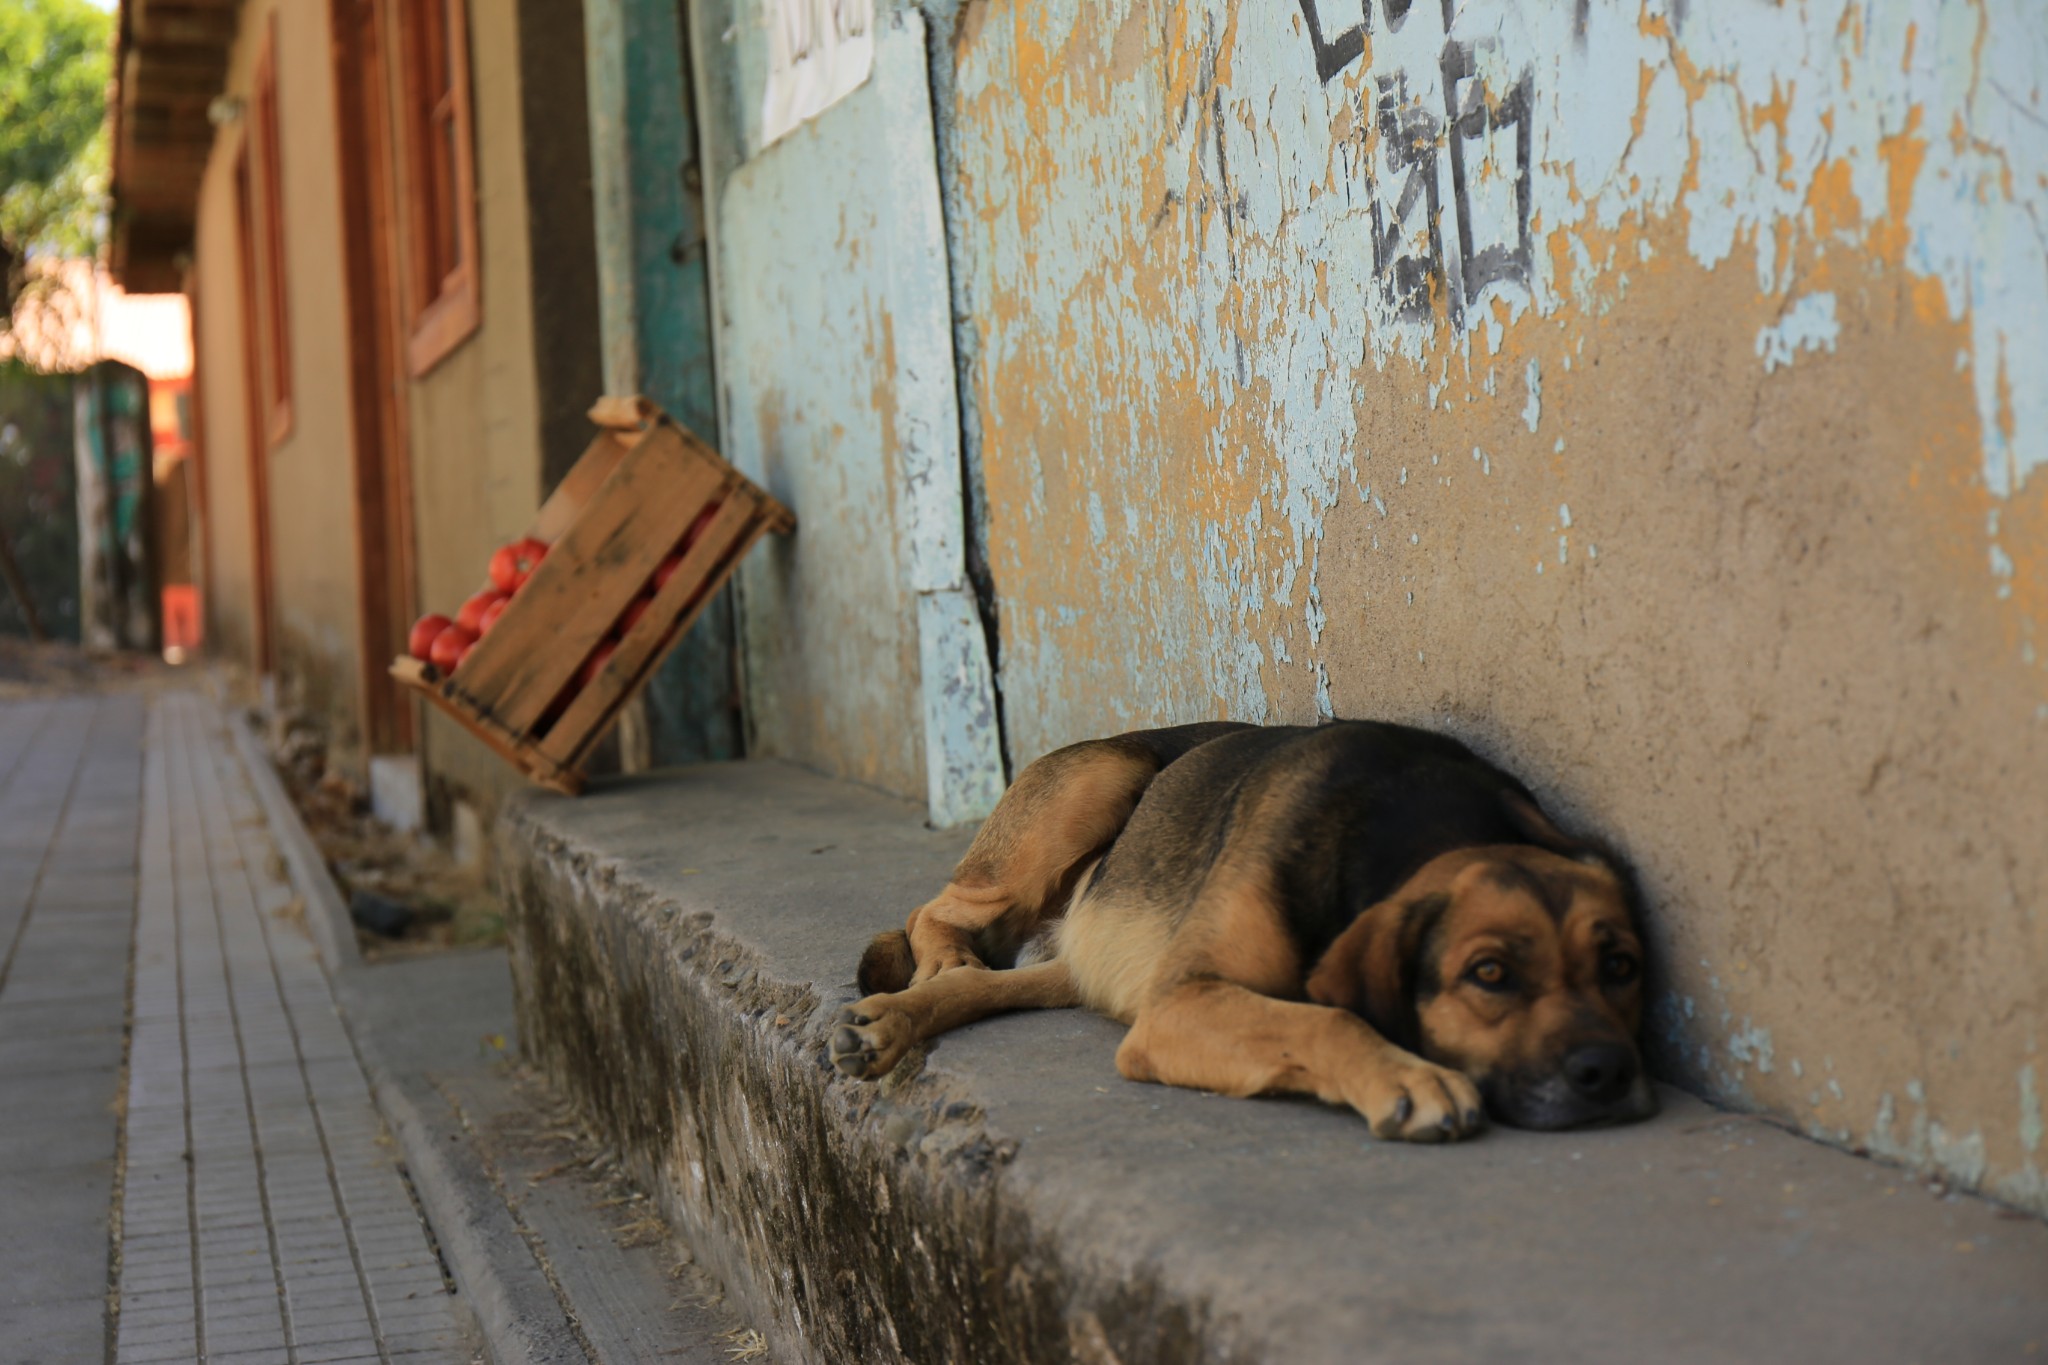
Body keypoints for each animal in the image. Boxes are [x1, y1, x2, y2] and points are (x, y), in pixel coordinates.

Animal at [823, 716, 1654, 1146]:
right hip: (1095, 783)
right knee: (932, 915)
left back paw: (887, 1021)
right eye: (1489, 974)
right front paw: (1408, 1076)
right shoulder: (1180, 1003)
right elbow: (1328, 1020)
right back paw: (929, 967)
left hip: (1098, 961)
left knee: (984, 982)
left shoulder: (1171, 998)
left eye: (1621, 966)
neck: (1420, 828)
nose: (1608, 1072)